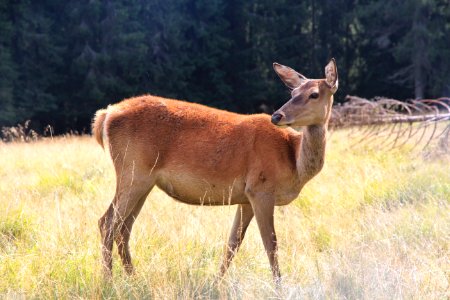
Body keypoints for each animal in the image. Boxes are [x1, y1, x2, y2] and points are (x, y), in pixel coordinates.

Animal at [91, 57, 338, 282]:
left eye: (314, 94)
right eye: (293, 92)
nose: (277, 115)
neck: (293, 161)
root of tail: (106, 115)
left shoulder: (245, 197)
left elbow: (233, 243)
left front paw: (216, 282)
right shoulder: (261, 189)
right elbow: (271, 244)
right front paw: (279, 285)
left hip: (144, 181)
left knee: (124, 229)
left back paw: (133, 278)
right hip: (133, 171)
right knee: (107, 223)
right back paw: (108, 281)